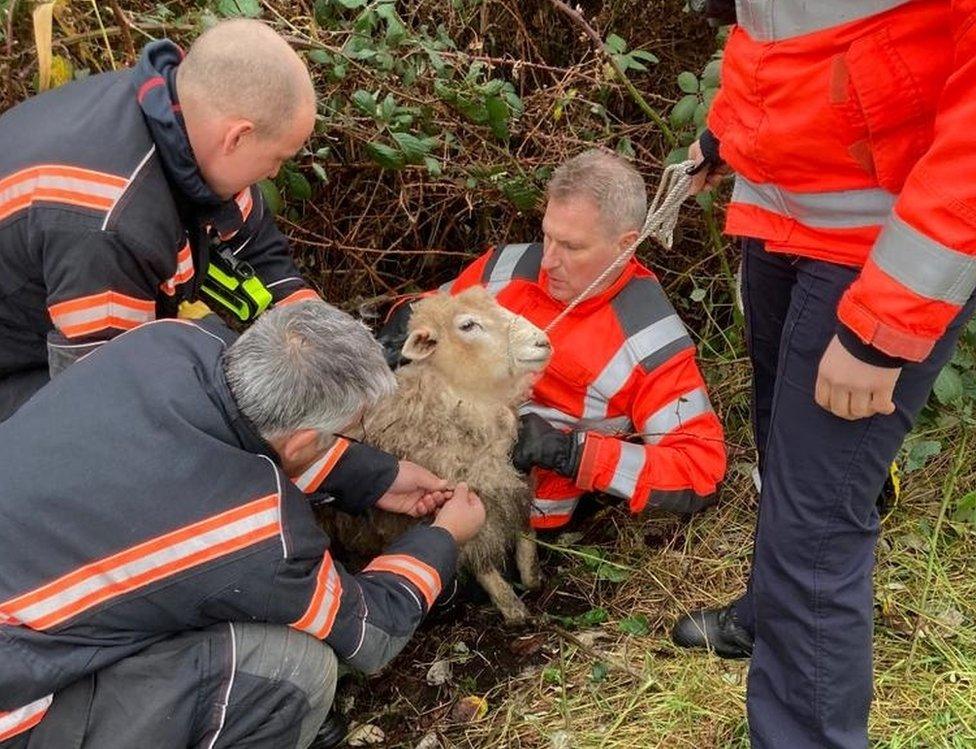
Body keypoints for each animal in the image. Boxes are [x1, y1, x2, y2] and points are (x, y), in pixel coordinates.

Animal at [326, 284, 552, 624]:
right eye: (468, 325)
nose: (543, 342)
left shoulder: (510, 482)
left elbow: (525, 531)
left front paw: (531, 576)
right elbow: (480, 562)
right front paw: (512, 608)